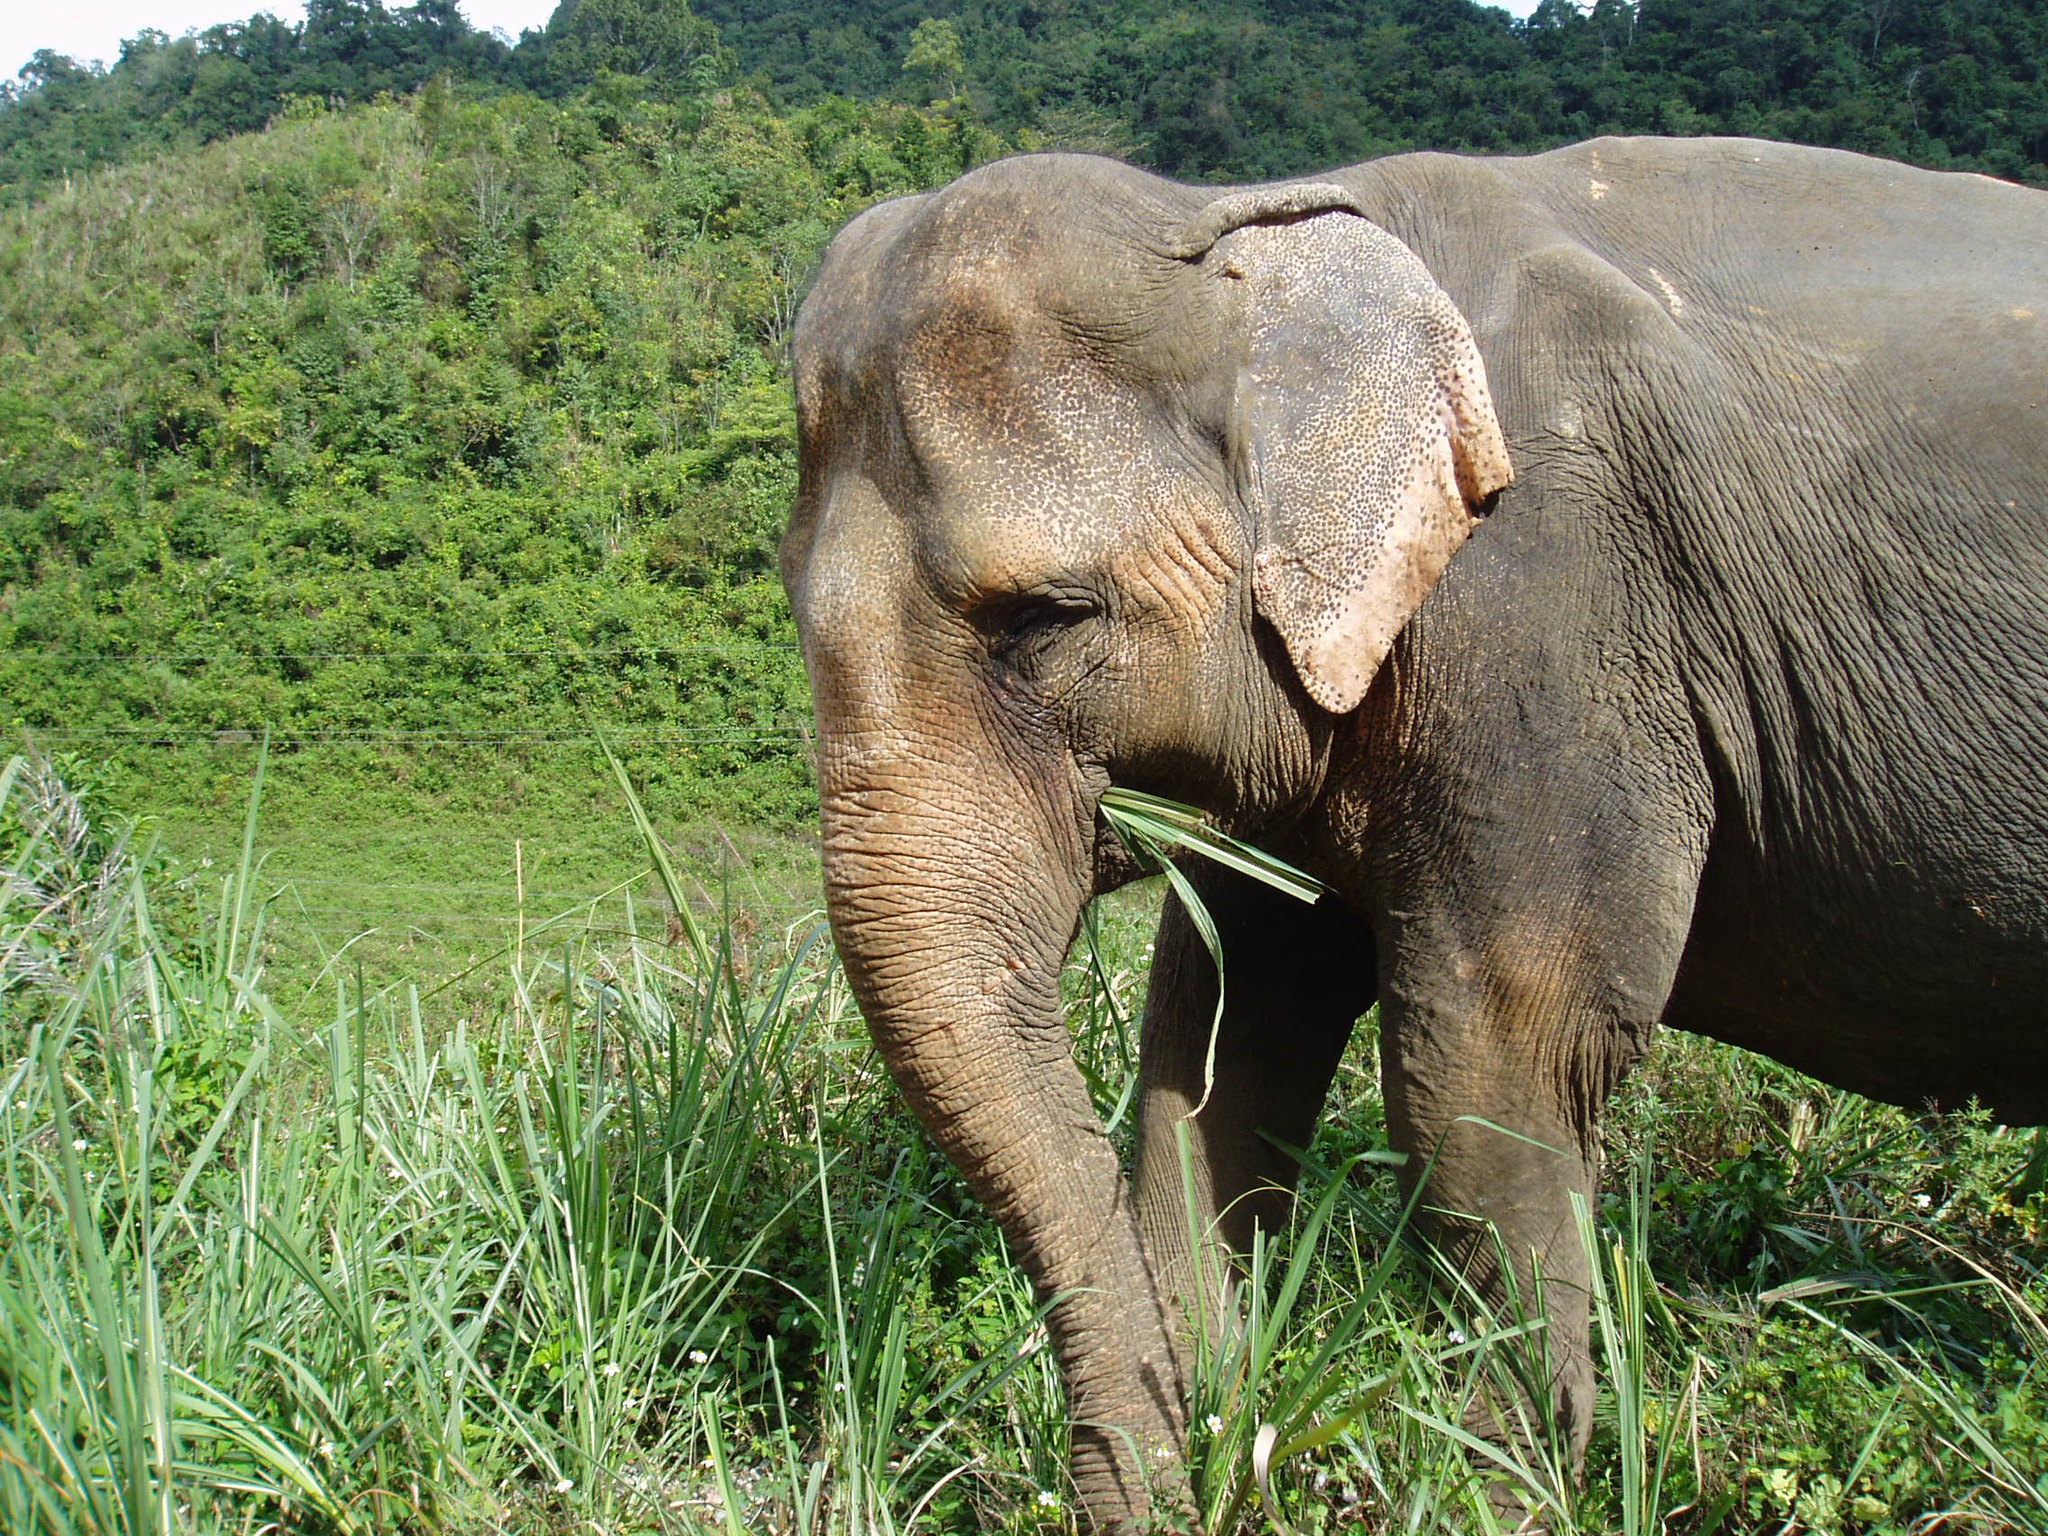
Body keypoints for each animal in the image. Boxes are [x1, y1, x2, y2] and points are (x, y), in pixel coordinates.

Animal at [778, 138, 2048, 1531]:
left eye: (1044, 619)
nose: (1174, 1478)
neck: (1243, 223)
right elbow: (1226, 1031)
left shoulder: (1548, 616)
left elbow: (1489, 1064)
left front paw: (1500, 1490)